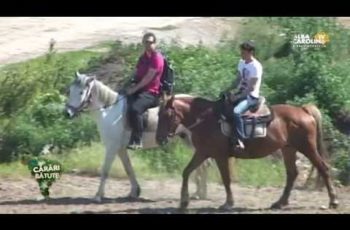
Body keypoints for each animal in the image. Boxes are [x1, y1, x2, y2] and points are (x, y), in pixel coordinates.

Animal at [64, 72, 209, 201]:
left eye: (81, 92)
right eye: (70, 90)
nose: (67, 113)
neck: (109, 111)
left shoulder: (112, 148)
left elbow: (105, 170)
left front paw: (98, 196)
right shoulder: (120, 149)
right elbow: (128, 169)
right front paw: (134, 192)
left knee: (203, 165)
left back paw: (199, 194)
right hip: (188, 140)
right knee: (202, 165)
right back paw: (199, 193)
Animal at [156, 95, 340, 210]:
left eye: (167, 115)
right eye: (158, 114)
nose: (159, 139)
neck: (206, 120)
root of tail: (303, 110)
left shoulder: (220, 156)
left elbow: (226, 179)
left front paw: (228, 203)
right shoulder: (202, 153)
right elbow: (186, 171)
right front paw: (183, 201)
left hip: (307, 148)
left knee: (323, 168)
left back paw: (334, 201)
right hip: (289, 149)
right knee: (292, 174)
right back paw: (280, 203)